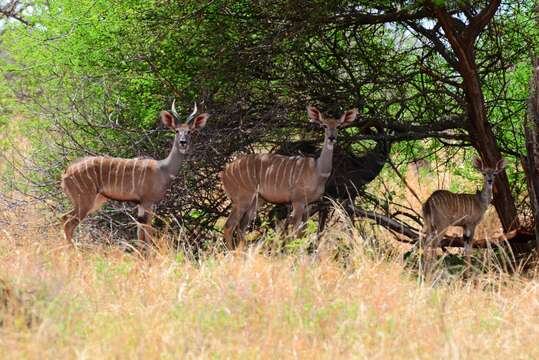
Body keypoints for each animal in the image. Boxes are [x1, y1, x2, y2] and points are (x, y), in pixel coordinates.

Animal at [61, 102, 209, 246]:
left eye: (189, 131)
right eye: (176, 131)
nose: (183, 142)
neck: (163, 169)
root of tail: (66, 171)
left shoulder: (141, 204)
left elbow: (140, 233)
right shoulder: (148, 201)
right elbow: (147, 232)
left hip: (95, 200)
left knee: (64, 217)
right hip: (85, 200)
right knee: (68, 222)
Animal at [220, 105, 358, 249]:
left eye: (338, 126)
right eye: (324, 125)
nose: (331, 137)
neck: (318, 171)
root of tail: (224, 173)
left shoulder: (308, 204)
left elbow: (303, 232)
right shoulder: (298, 201)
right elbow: (295, 233)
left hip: (256, 201)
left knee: (241, 227)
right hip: (242, 200)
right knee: (229, 226)